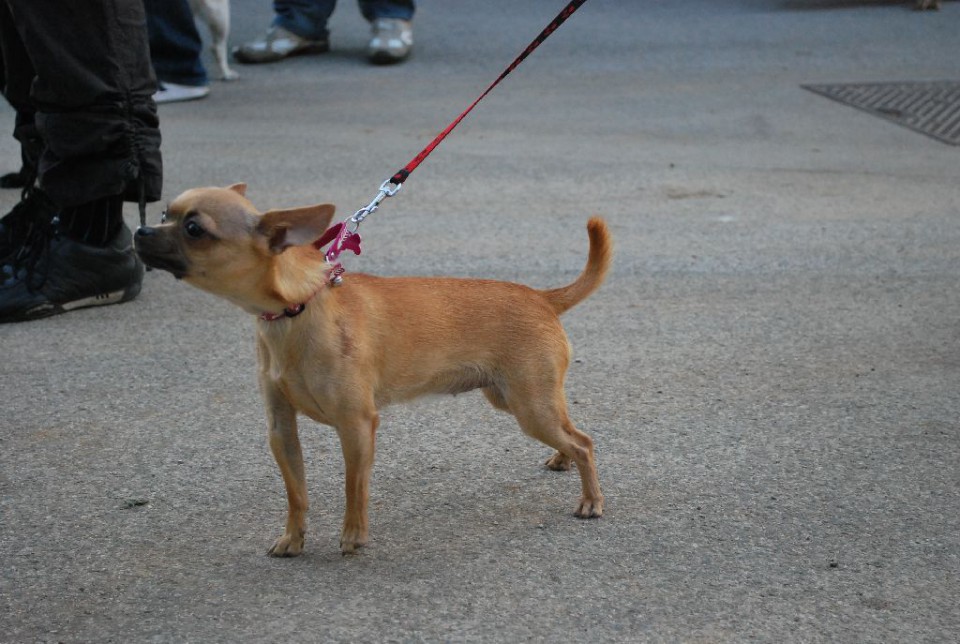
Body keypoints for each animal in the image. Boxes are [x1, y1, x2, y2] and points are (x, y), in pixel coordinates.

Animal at [135, 184, 612, 556]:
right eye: (164, 214)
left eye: (194, 229)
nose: (140, 231)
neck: (298, 309)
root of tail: (542, 297)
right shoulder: (281, 430)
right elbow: (296, 493)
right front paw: (294, 539)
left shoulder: (357, 425)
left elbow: (353, 487)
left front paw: (352, 536)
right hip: (518, 401)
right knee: (571, 434)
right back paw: (561, 459)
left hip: (530, 406)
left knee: (584, 443)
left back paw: (590, 499)